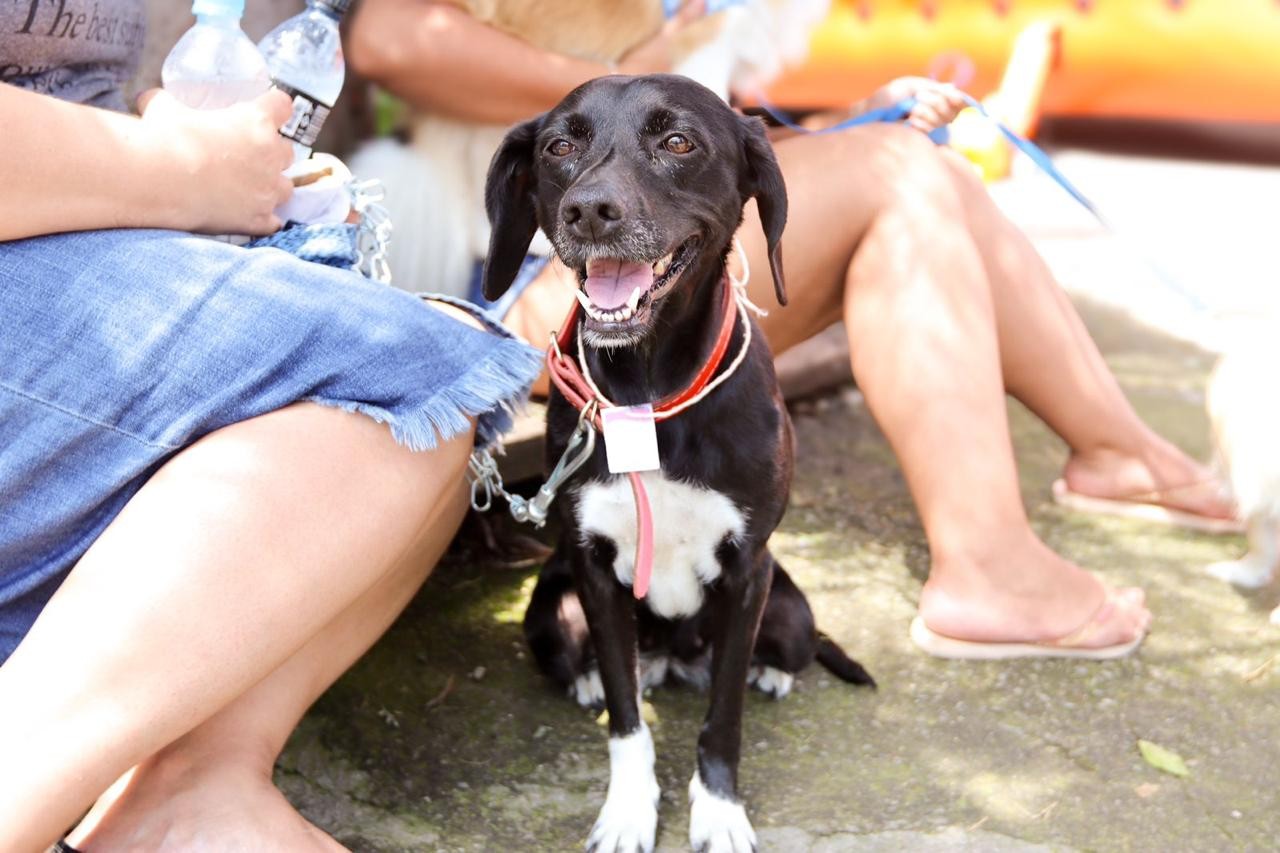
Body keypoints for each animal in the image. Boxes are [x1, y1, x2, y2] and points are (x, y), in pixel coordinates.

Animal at [483, 76, 875, 845]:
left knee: (781, 651)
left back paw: (771, 673)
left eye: (678, 141)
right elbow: (627, 721)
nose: (589, 211)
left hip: (790, 610)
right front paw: (629, 811)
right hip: (549, 610)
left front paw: (719, 813)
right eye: (559, 146)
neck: (650, 392)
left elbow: (722, 720)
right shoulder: (596, 575)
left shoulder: (748, 571)